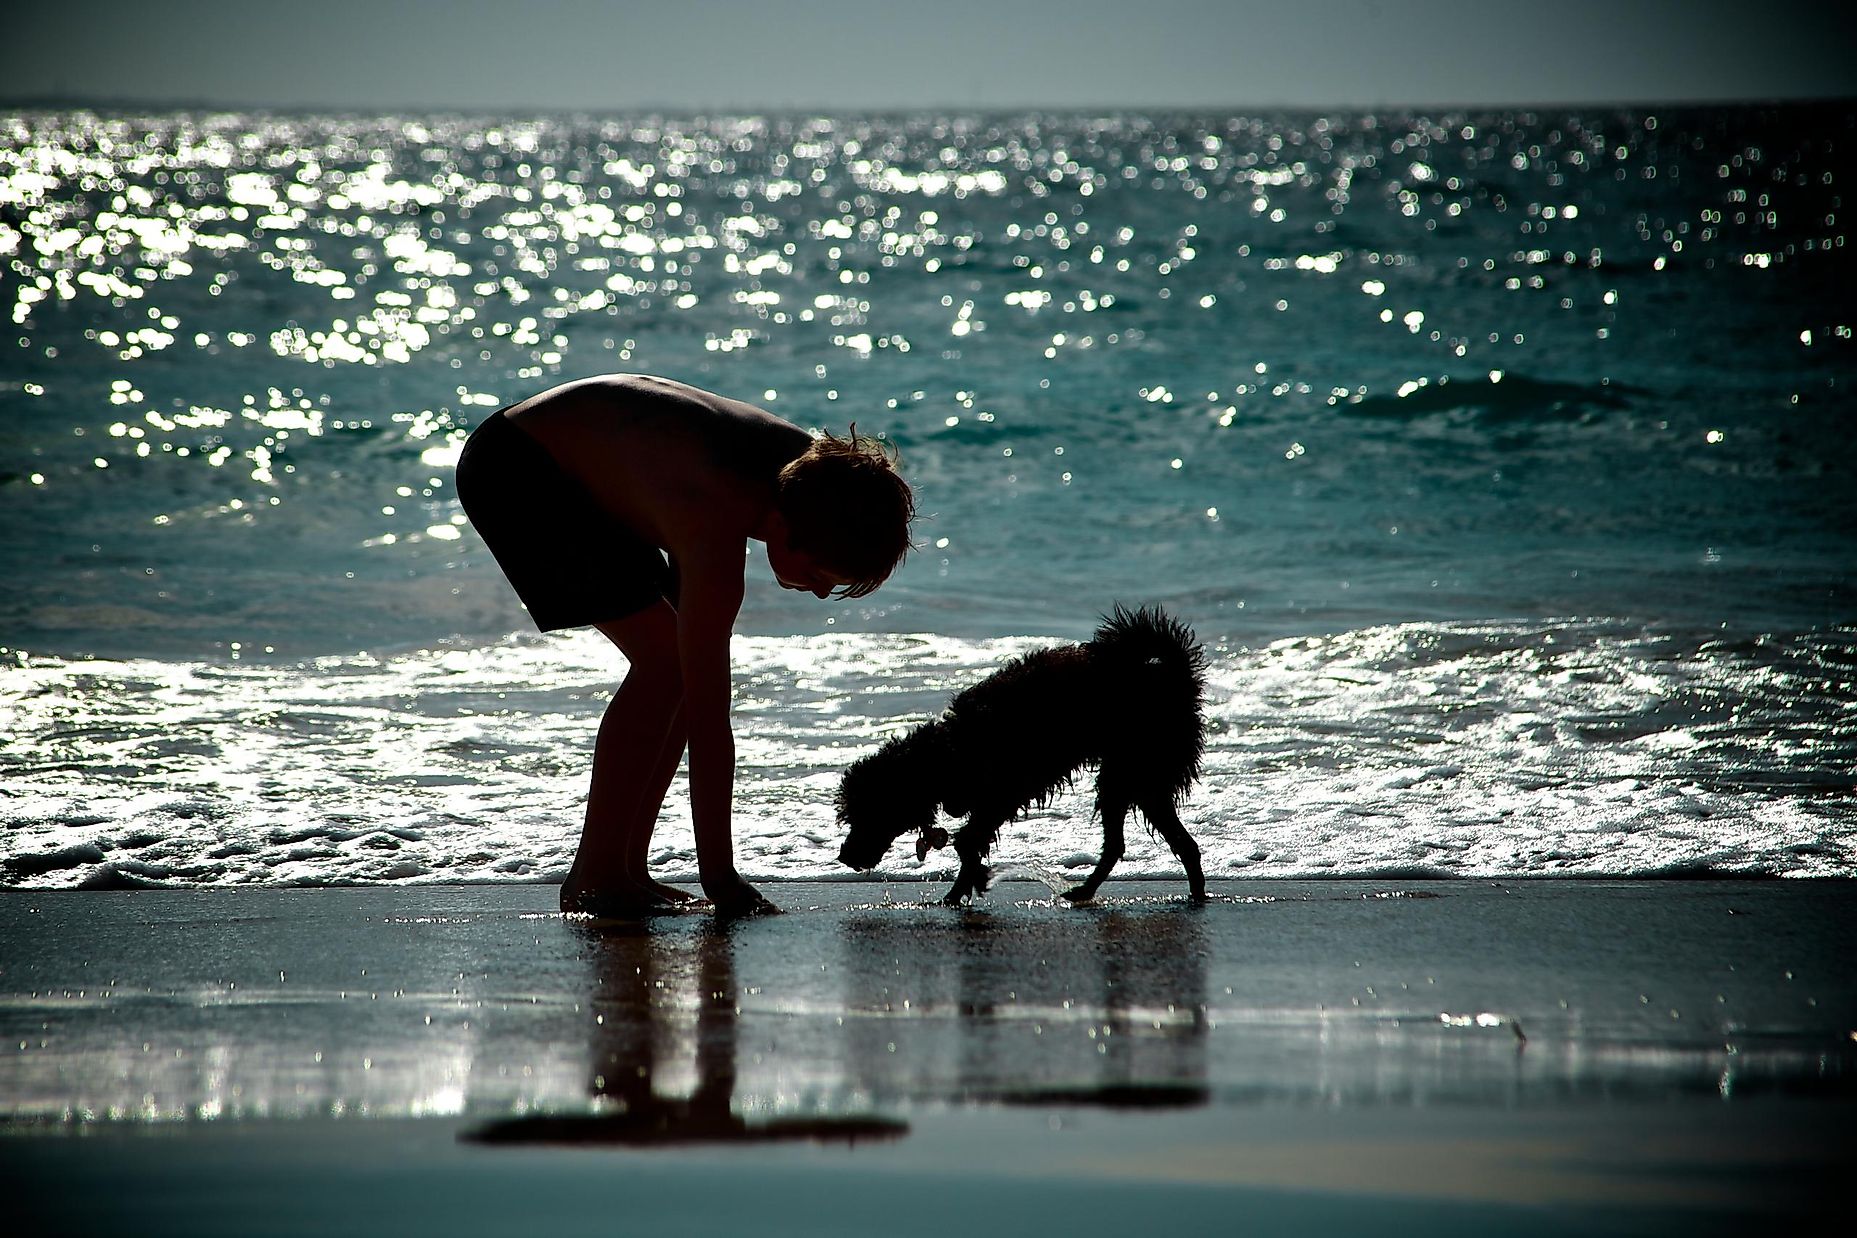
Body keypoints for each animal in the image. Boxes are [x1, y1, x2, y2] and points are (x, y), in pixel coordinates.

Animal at [835, 605, 1210, 905]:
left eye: (865, 814)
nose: (844, 857)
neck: (948, 755)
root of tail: (1174, 679)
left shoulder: (999, 797)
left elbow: (967, 844)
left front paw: (965, 887)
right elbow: (970, 845)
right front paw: (964, 888)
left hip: (1132, 772)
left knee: (1137, 842)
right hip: (1137, 780)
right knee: (1163, 844)